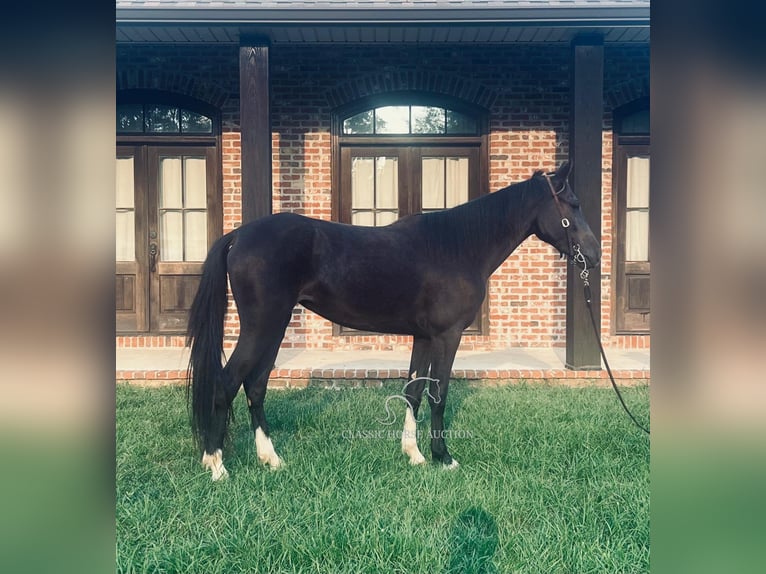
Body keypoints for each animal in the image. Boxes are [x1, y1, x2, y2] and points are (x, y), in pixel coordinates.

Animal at [184, 162, 600, 482]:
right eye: (574, 204)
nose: (594, 255)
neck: (457, 245)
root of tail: (238, 236)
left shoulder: (424, 337)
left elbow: (413, 390)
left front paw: (413, 454)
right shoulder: (447, 336)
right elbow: (438, 393)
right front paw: (443, 457)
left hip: (274, 328)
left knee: (254, 386)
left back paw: (270, 459)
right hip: (262, 327)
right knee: (226, 384)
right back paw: (217, 466)